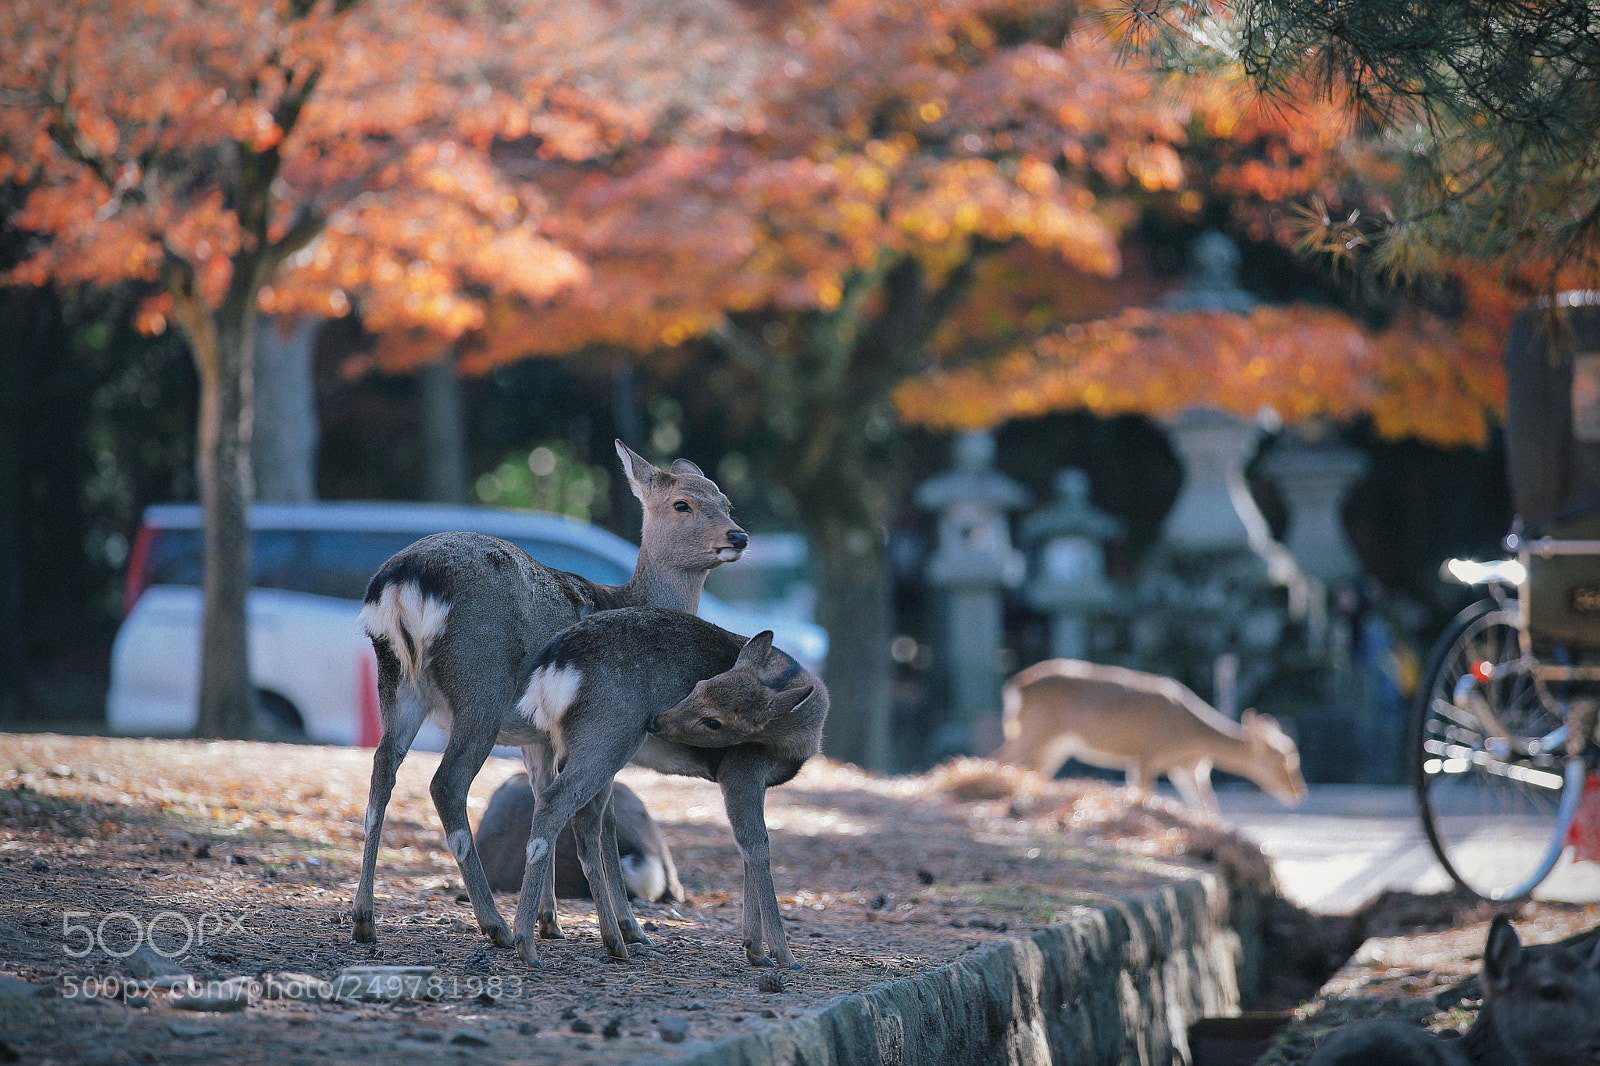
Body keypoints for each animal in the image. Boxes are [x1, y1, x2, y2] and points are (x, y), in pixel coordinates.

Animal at [503, 605, 826, 967]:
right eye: (697, 685)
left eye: (713, 721)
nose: (656, 721)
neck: (800, 737)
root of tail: (553, 666)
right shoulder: (740, 767)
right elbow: (757, 846)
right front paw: (781, 954)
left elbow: (744, 849)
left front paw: (753, 946)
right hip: (608, 733)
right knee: (555, 804)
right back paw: (528, 943)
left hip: (566, 744)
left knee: (582, 820)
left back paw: (610, 938)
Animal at [989, 658, 1307, 814]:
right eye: (1285, 759)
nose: (1299, 791)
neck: (1191, 736)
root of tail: (1014, 687)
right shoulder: (1145, 755)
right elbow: (1144, 794)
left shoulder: (1187, 768)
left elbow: (1207, 805)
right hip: (1035, 728)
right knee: (997, 758)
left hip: (1055, 744)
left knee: (1033, 769)